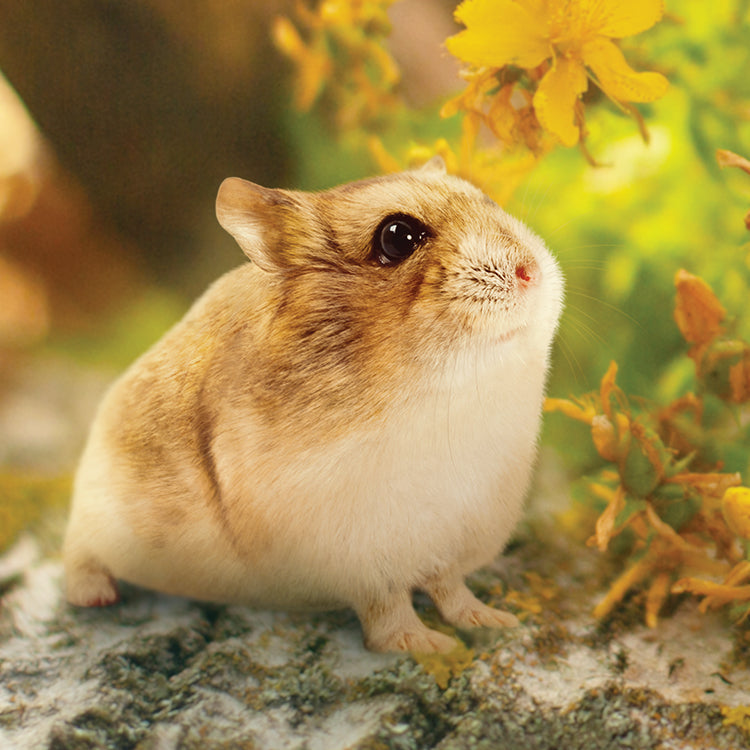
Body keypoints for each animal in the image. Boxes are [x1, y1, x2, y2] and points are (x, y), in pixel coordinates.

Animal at [63, 157, 564, 653]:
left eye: (487, 201)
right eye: (397, 237)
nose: (531, 273)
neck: (447, 394)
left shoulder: (451, 540)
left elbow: (451, 588)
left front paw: (494, 621)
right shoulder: (359, 556)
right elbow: (389, 608)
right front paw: (426, 646)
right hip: (97, 514)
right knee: (77, 553)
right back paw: (93, 597)